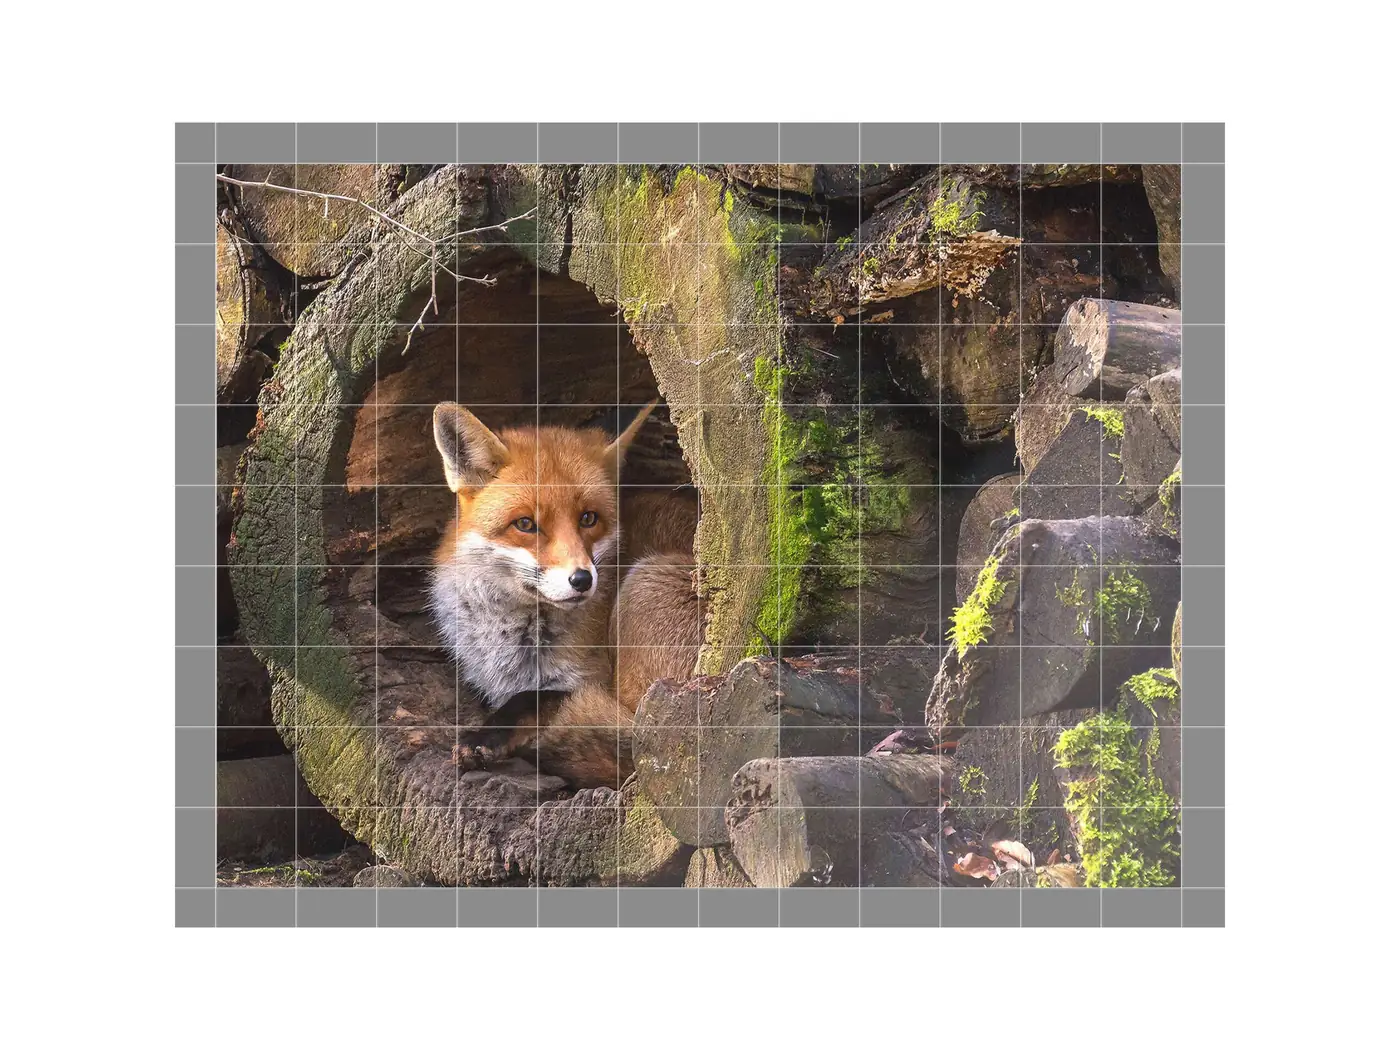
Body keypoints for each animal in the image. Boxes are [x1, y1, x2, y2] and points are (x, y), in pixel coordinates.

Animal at [430, 400, 704, 788]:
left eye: (588, 518)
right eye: (525, 524)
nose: (582, 579)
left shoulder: (589, 682)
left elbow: (534, 698)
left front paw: (487, 736)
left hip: (647, 586)